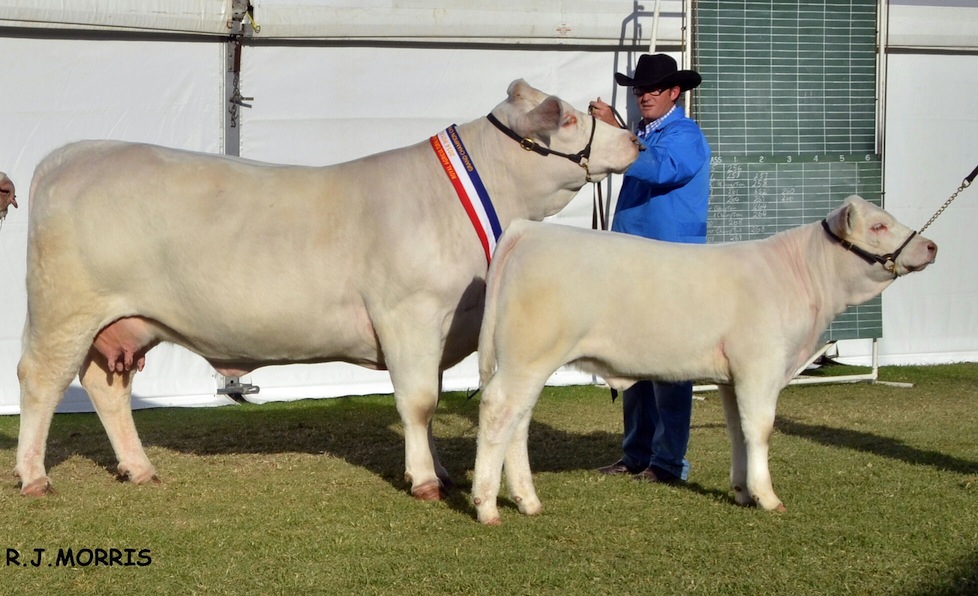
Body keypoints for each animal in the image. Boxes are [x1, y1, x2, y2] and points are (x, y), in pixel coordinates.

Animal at [17, 79, 640, 498]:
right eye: (566, 119)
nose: (633, 137)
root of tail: (72, 153)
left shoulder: (438, 327)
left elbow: (431, 402)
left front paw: (438, 469)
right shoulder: (410, 312)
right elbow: (418, 402)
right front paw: (424, 480)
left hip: (124, 324)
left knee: (106, 389)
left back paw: (139, 468)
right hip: (63, 311)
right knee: (41, 381)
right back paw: (33, 475)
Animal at [472, 198, 936, 524]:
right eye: (878, 225)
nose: (931, 245)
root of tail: (528, 230)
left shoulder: (734, 376)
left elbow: (739, 432)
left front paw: (743, 491)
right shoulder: (762, 366)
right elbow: (761, 429)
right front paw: (769, 498)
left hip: (528, 360)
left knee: (518, 421)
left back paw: (527, 501)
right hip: (528, 356)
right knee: (499, 411)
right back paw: (486, 506)